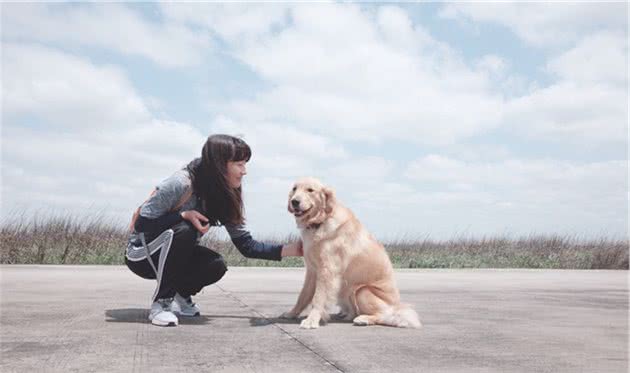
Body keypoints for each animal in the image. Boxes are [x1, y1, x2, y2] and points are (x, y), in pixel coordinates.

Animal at [282, 176, 422, 326]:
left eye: (310, 190)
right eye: (294, 189)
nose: (294, 201)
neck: (320, 221)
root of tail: (397, 307)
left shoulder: (327, 270)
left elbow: (318, 298)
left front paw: (311, 320)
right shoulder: (312, 270)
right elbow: (303, 296)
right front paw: (292, 313)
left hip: (362, 291)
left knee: (385, 315)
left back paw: (363, 319)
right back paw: (346, 314)